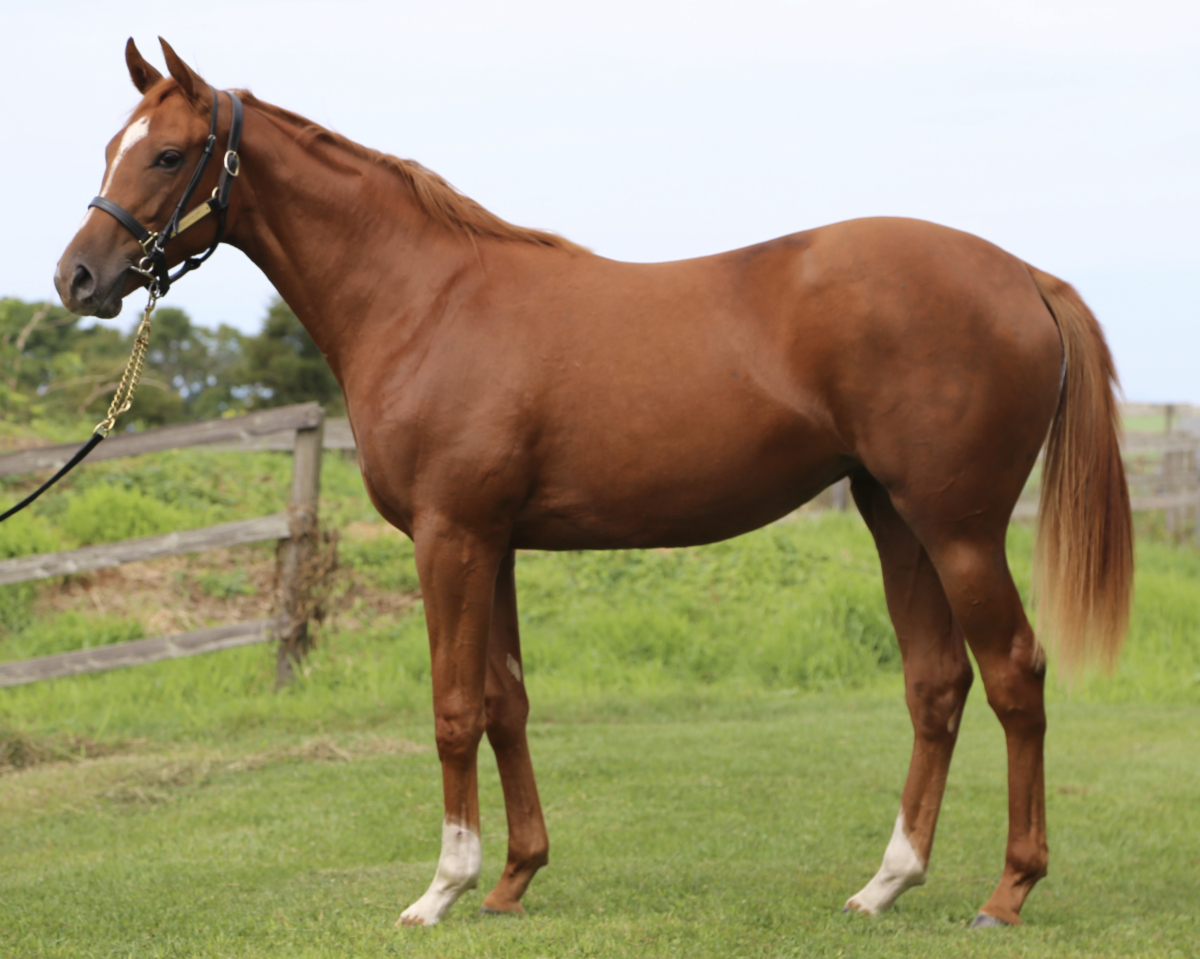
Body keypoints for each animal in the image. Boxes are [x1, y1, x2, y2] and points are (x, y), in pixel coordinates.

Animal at [56, 38, 1132, 929]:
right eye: (110, 143)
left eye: (166, 155)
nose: (77, 278)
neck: (426, 299)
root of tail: (1025, 276)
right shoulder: (493, 543)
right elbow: (507, 700)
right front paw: (512, 878)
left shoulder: (451, 537)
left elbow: (453, 707)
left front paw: (440, 889)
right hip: (894, 516)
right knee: (937, 682)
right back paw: (885, 883)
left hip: (959, 527)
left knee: (1015, 675)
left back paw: (1009, 889)